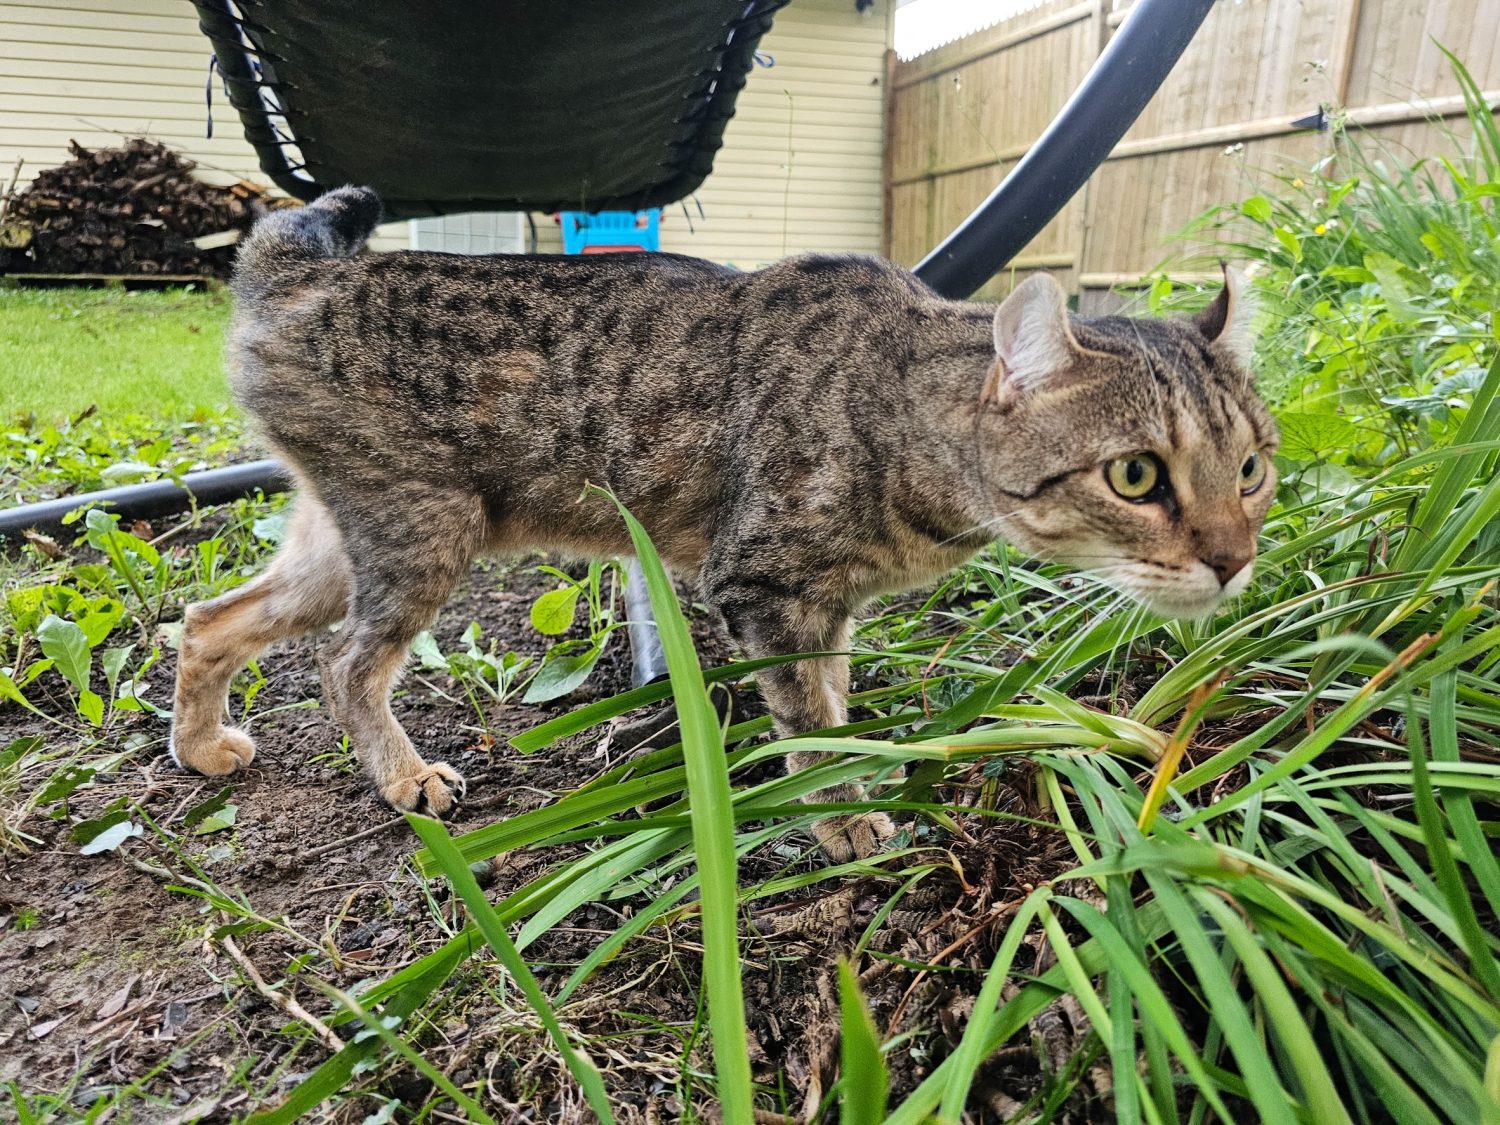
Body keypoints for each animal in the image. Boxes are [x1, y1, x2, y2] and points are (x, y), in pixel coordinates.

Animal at [175, 189, 1278, 864]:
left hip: (345, 537)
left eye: (1253, 470)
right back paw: (404, 776)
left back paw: (202, 748)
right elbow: (813, 722)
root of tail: (302, 269)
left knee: (205, 619)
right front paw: (846, 821)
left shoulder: (829, 607)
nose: (1234, 562)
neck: (899, 417)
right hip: (423, 527)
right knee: (343, 663)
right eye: (1136, 476)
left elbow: (833, 701)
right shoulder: (762, 587)